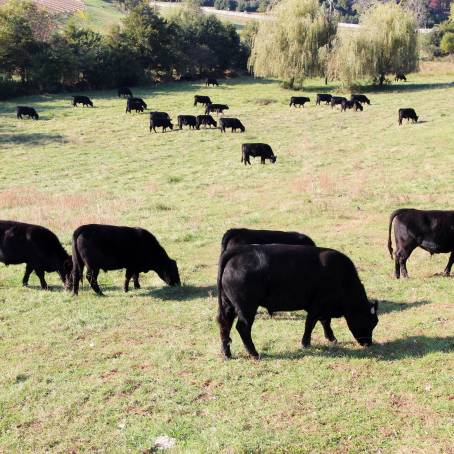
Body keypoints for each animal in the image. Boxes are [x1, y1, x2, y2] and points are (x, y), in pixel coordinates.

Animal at [218, 245, 378, 358]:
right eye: (370, 322)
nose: (368, 343)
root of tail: (241, 250)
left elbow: (325, 322)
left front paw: (331, 338)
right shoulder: (317, 305)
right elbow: (310, 324)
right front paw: (305, 343)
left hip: (228, 305)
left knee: (224, 325)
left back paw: (227, 354)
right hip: (247, 307)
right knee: (243, 327)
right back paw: (254, 353)